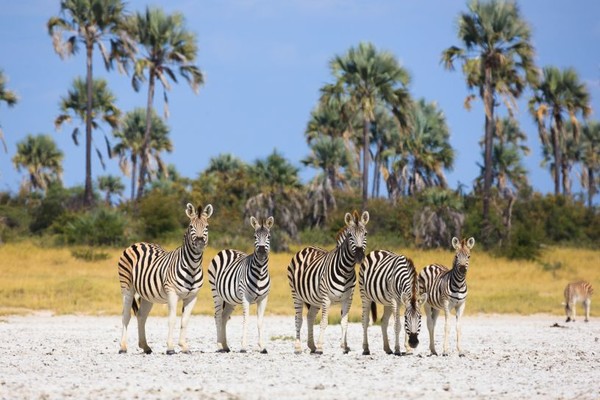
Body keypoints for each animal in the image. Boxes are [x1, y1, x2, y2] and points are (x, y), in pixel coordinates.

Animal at [117, 203, 213, 354]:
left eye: (207, 227)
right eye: (191, 226)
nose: (199, 243)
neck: (192, 267)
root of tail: (137, 243)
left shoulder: (193, 296)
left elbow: (185, 320)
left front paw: (184, 346)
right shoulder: (171, 293)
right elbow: (172, 319)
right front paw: (170, 348)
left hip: (147, 295)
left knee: (141, 316)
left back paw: (145, 346)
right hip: (127, 288)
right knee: (126, 315)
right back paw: (122, 347)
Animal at [206, 216, 272, 354]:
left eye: (268, 236)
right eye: (254, 236)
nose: (261, 251)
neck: (260, 273)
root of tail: (227, 249)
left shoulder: (264, 298)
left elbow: (260, 321)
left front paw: (262, 347)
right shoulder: (245, 297)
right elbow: (246, 320)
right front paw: (243, 347)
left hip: (230, 299)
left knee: (224, 317)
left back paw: (225, 346)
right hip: (216, 293)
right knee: (218, 316)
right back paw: (219, 345)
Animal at [288, 209, 368, 354]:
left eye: (365, 234)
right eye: (350, 235)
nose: (359, 256)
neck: (346, 270)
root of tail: (306, 247)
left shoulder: (348, 299)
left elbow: (344, 322)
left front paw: (344, 346)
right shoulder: (326, 299)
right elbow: (324, 322)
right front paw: (320, 346)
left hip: (314, 299)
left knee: (310, 317)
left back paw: (312, 345)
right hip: (296, 295)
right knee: (298, 319)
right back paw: (298, 347)